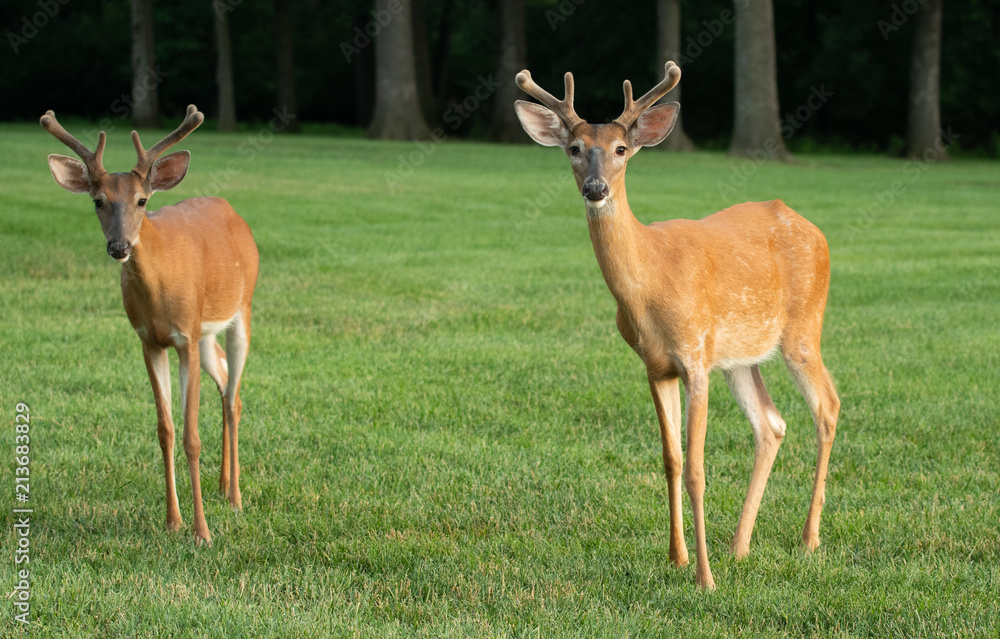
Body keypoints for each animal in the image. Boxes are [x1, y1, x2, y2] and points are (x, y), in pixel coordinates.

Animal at [41, 105, 259, 545]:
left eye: (142, 201)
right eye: (98, 201)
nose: (119, 247)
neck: (159, 292)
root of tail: (232, 211)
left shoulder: (184, 338)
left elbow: (191, 437)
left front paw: (201, 532)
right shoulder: (150, 340)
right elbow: (165, 430)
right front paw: (172, 521)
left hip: (241, 311)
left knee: (234, 398)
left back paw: (235, 497)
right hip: (206, 333)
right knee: (225, 379)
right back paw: (222, 486)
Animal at [514, 62, 840, 589]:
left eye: (621, 149)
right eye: (575, 148)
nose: (595, 189)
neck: (649, 284)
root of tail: (815, 230)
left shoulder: (694, 357)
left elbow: (696, 470)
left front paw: (704, 578)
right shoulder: (656, 366)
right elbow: (670, 461)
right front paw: (678, 558)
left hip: (803, 329)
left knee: (827, 407)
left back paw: (808, 539)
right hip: (739, 356)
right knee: (771, 424)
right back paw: (739, 546)